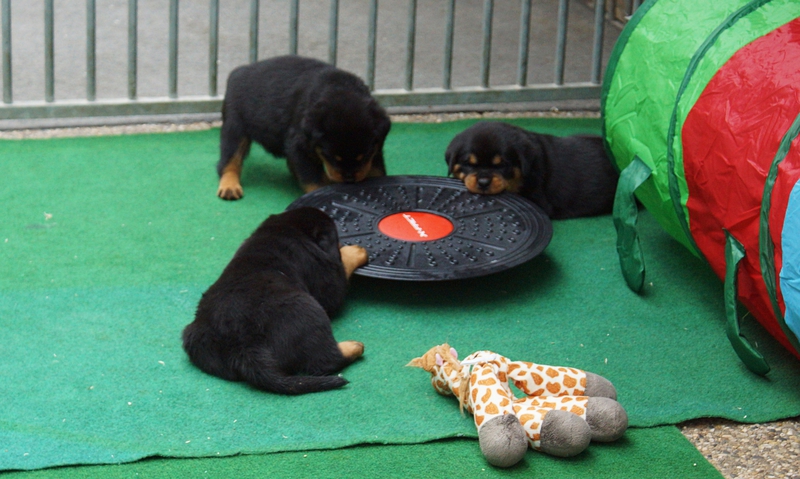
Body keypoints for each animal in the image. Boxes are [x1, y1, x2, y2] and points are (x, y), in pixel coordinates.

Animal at [182, 207, 368, 395]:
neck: (286, 228)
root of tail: (243, 345)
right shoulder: (325, 275)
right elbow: (339, 279)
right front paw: (357, 251)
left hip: (194, 339)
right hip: (307, 308)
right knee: (326, 361)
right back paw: (354, 346)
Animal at [217, 55, 392, 199]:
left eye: (364, 156)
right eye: (331, 157)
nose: (349, 178)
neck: (339, 88)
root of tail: (239, 72)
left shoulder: (376, 147)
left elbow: (377, 169)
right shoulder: (300, 146)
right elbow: (313, 179)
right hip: (234, 125)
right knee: (230, 159)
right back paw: (229, 185)